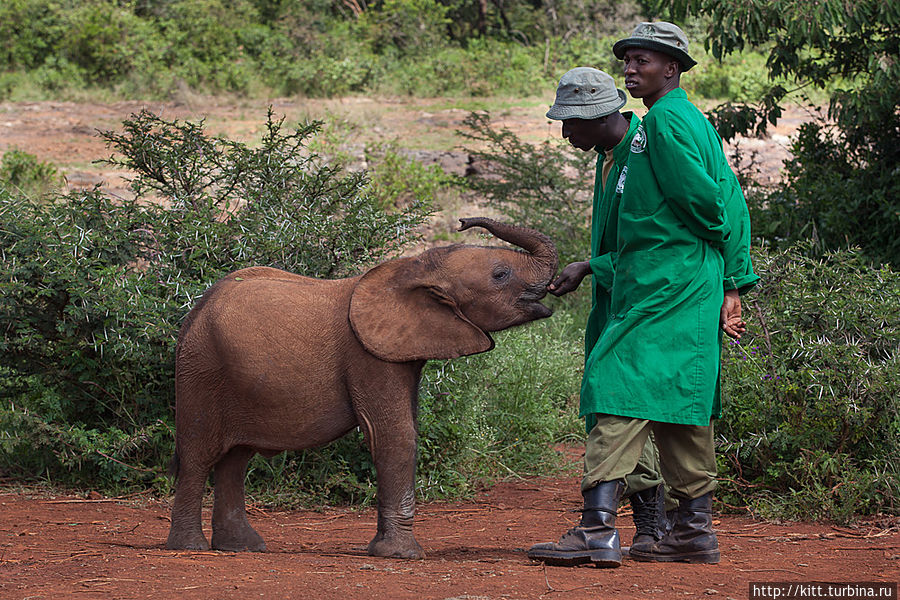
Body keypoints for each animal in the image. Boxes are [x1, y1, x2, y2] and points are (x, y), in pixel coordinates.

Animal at [163, 218, 556, 560]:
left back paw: (243, 547)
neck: (416, 267)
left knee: (235, 459)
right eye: (500, 275)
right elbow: (395, 434)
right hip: (201, 369)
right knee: (198, 455)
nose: (463, 222)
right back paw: (190, 547)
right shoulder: (367, 354)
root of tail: (196, 310)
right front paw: (402, 555)